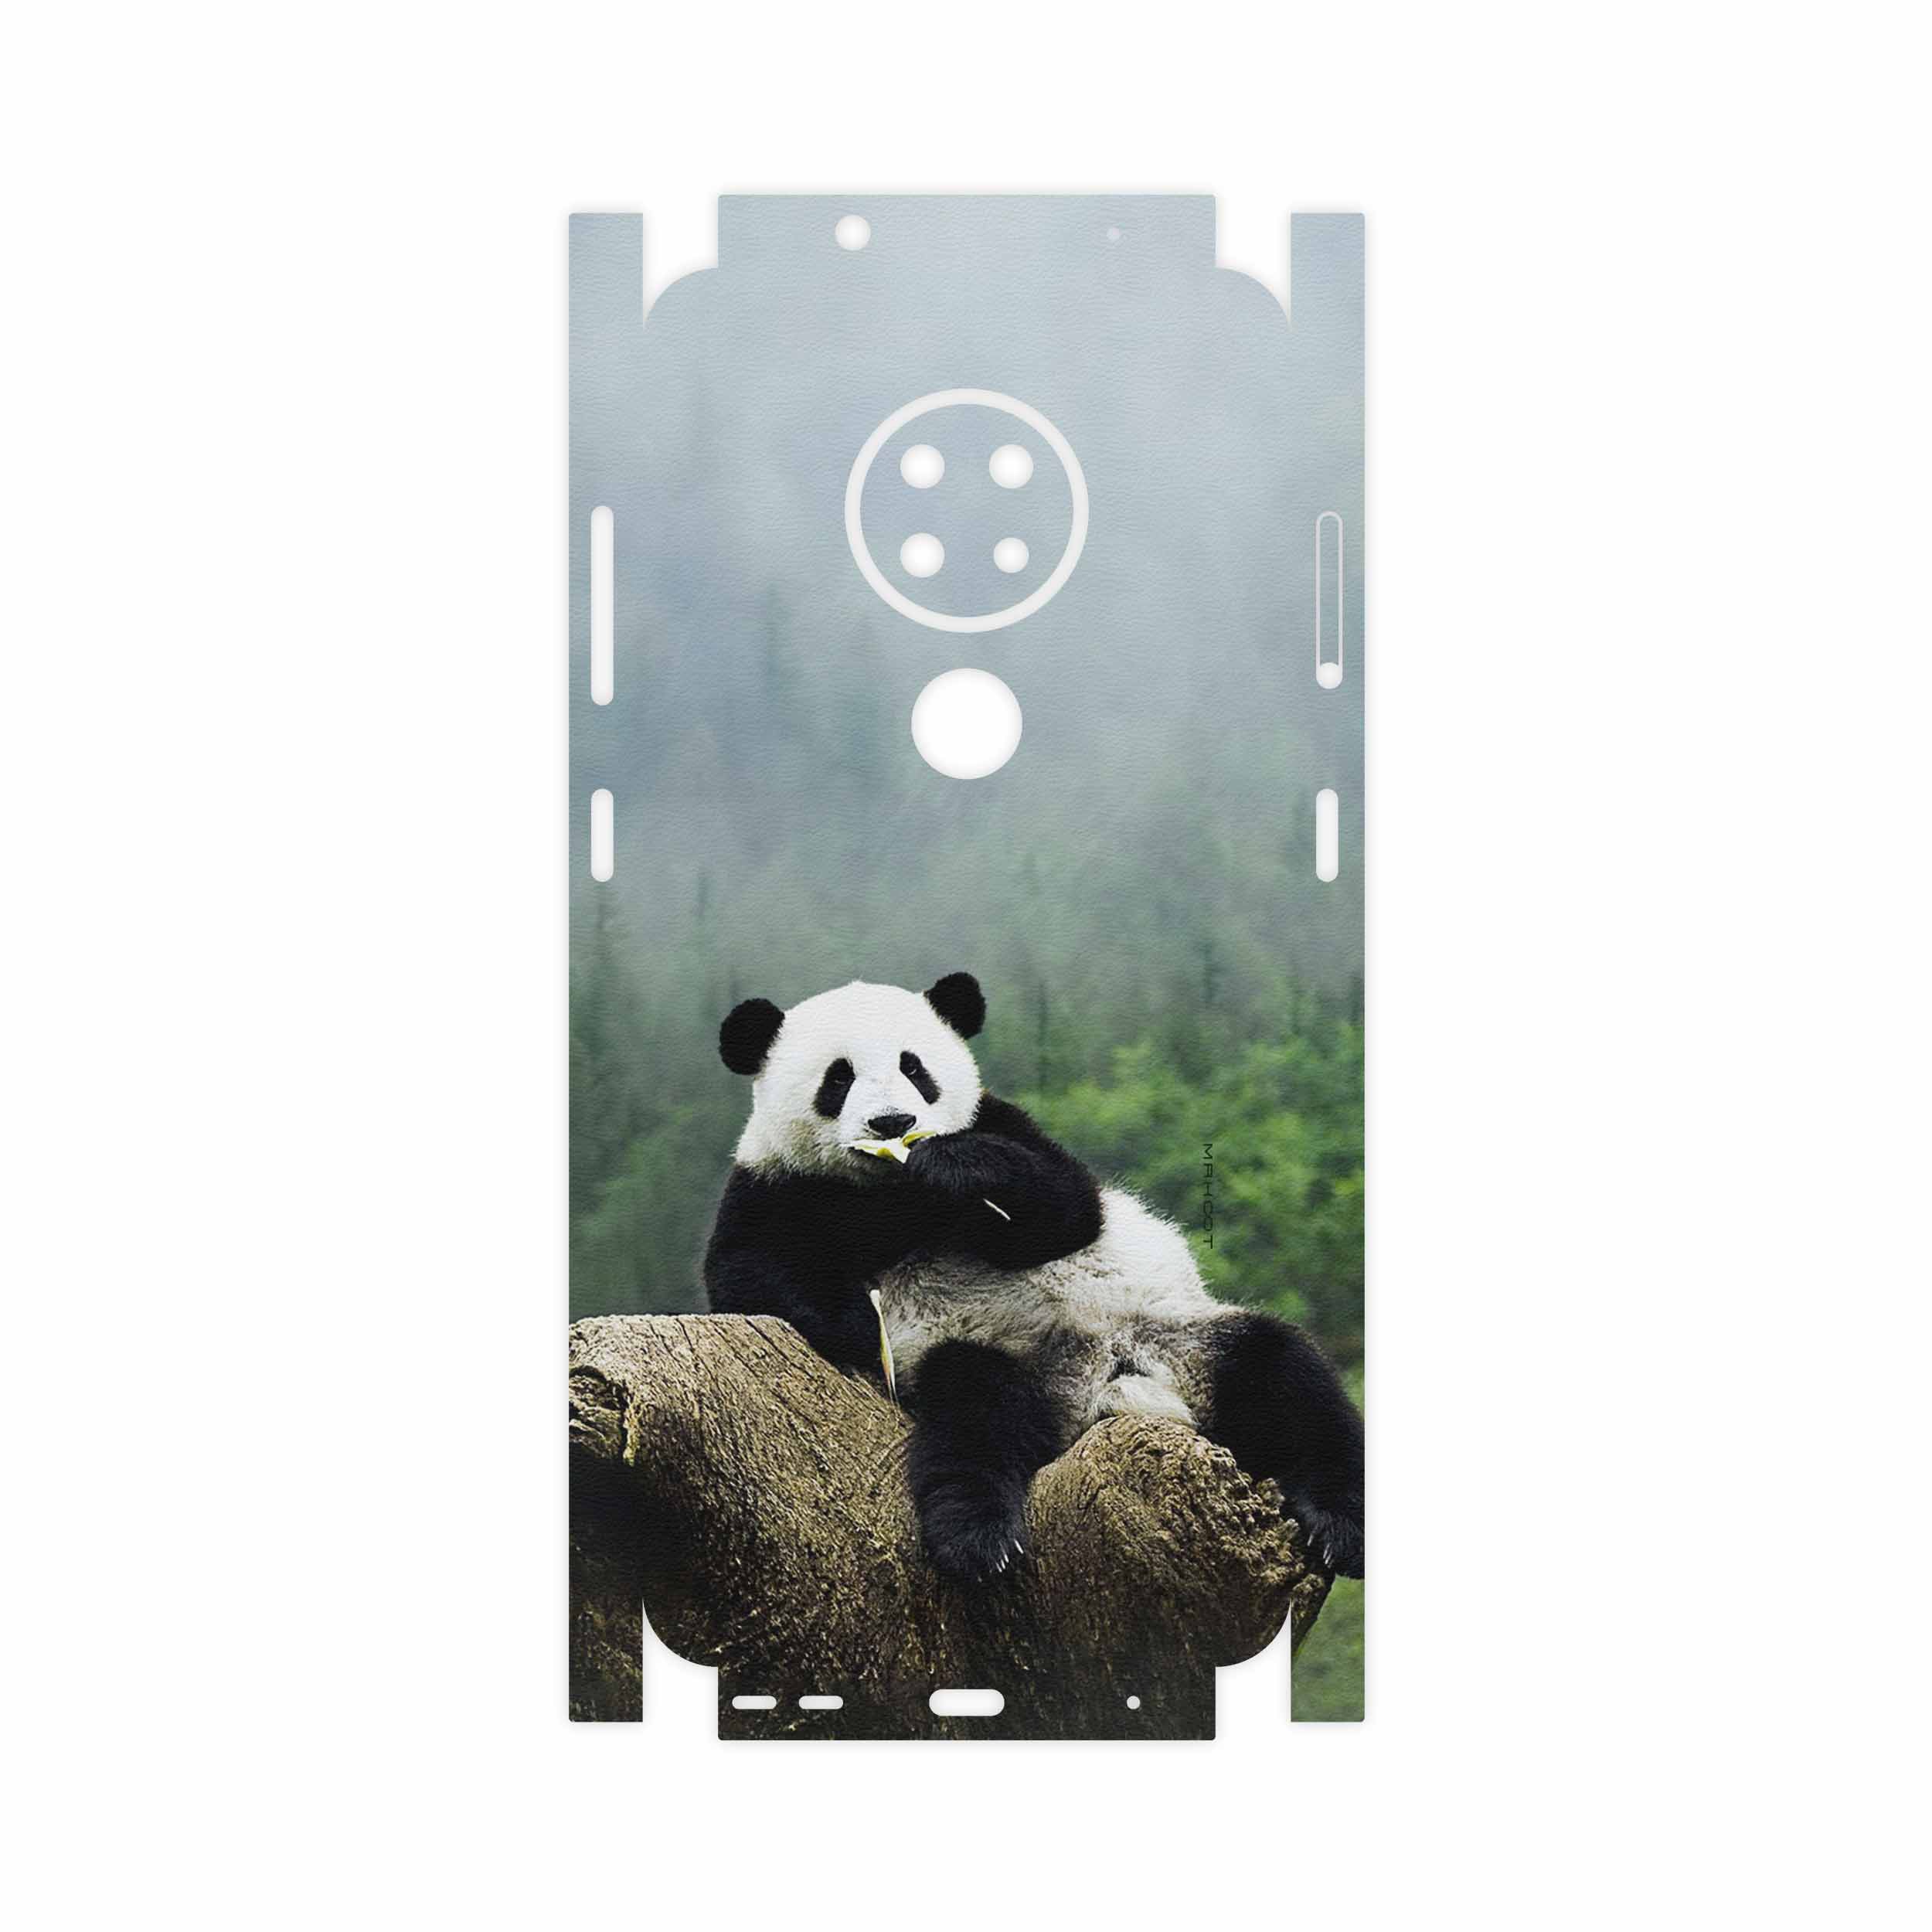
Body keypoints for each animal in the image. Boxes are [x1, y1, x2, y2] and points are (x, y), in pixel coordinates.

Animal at [704, 972, 1365, 1583]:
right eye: (838, 1079)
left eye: (914, 1068)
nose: (893, 1122)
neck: (891, 1192)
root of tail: (1106, 1385)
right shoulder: (774, 1185)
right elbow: (747, 1272)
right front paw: (859, 1324)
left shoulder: (1003, 1122)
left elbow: (1068, 1208)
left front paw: (956, 1166)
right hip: (997, 1358)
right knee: (973, 1418)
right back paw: (980, 1540)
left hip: (1181, 1335)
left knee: (1286, 1375)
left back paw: (1341, 1525)